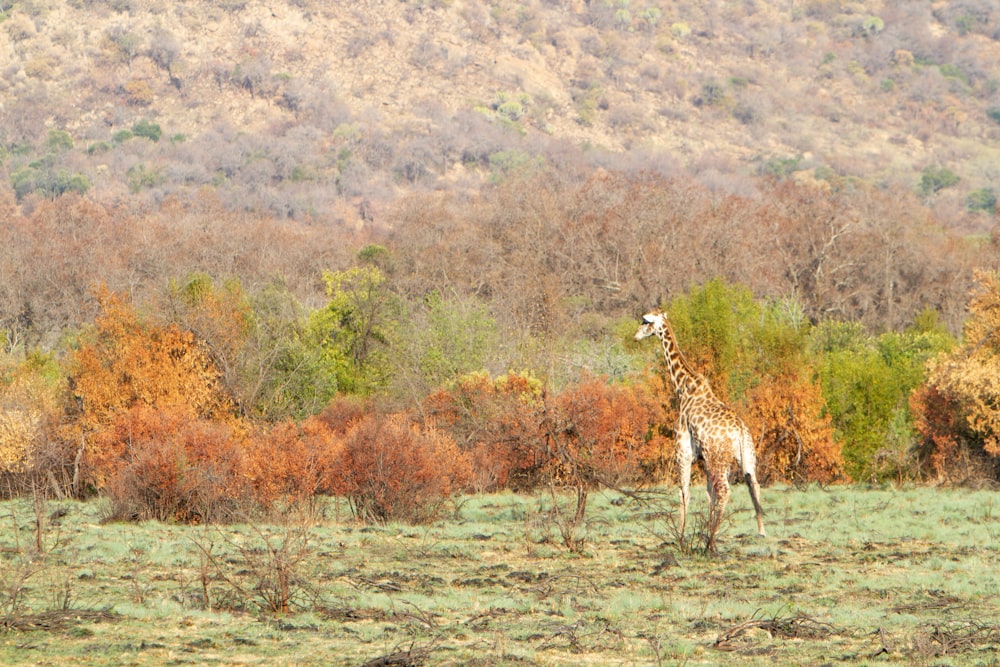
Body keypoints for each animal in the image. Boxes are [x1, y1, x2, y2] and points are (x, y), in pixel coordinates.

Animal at [632, 310, 764, 540]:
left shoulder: (683, 450)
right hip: (746, 456)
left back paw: (714, 534)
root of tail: (739, 432)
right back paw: (761, 531)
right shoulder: (703, 458)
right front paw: (702, 527)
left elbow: (684, 491)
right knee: (753, 484)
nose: (635, 336)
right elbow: (708, 494)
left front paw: (681, 533)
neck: (683, 387)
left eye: (644, 321)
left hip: (719, 458)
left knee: (724, 490)